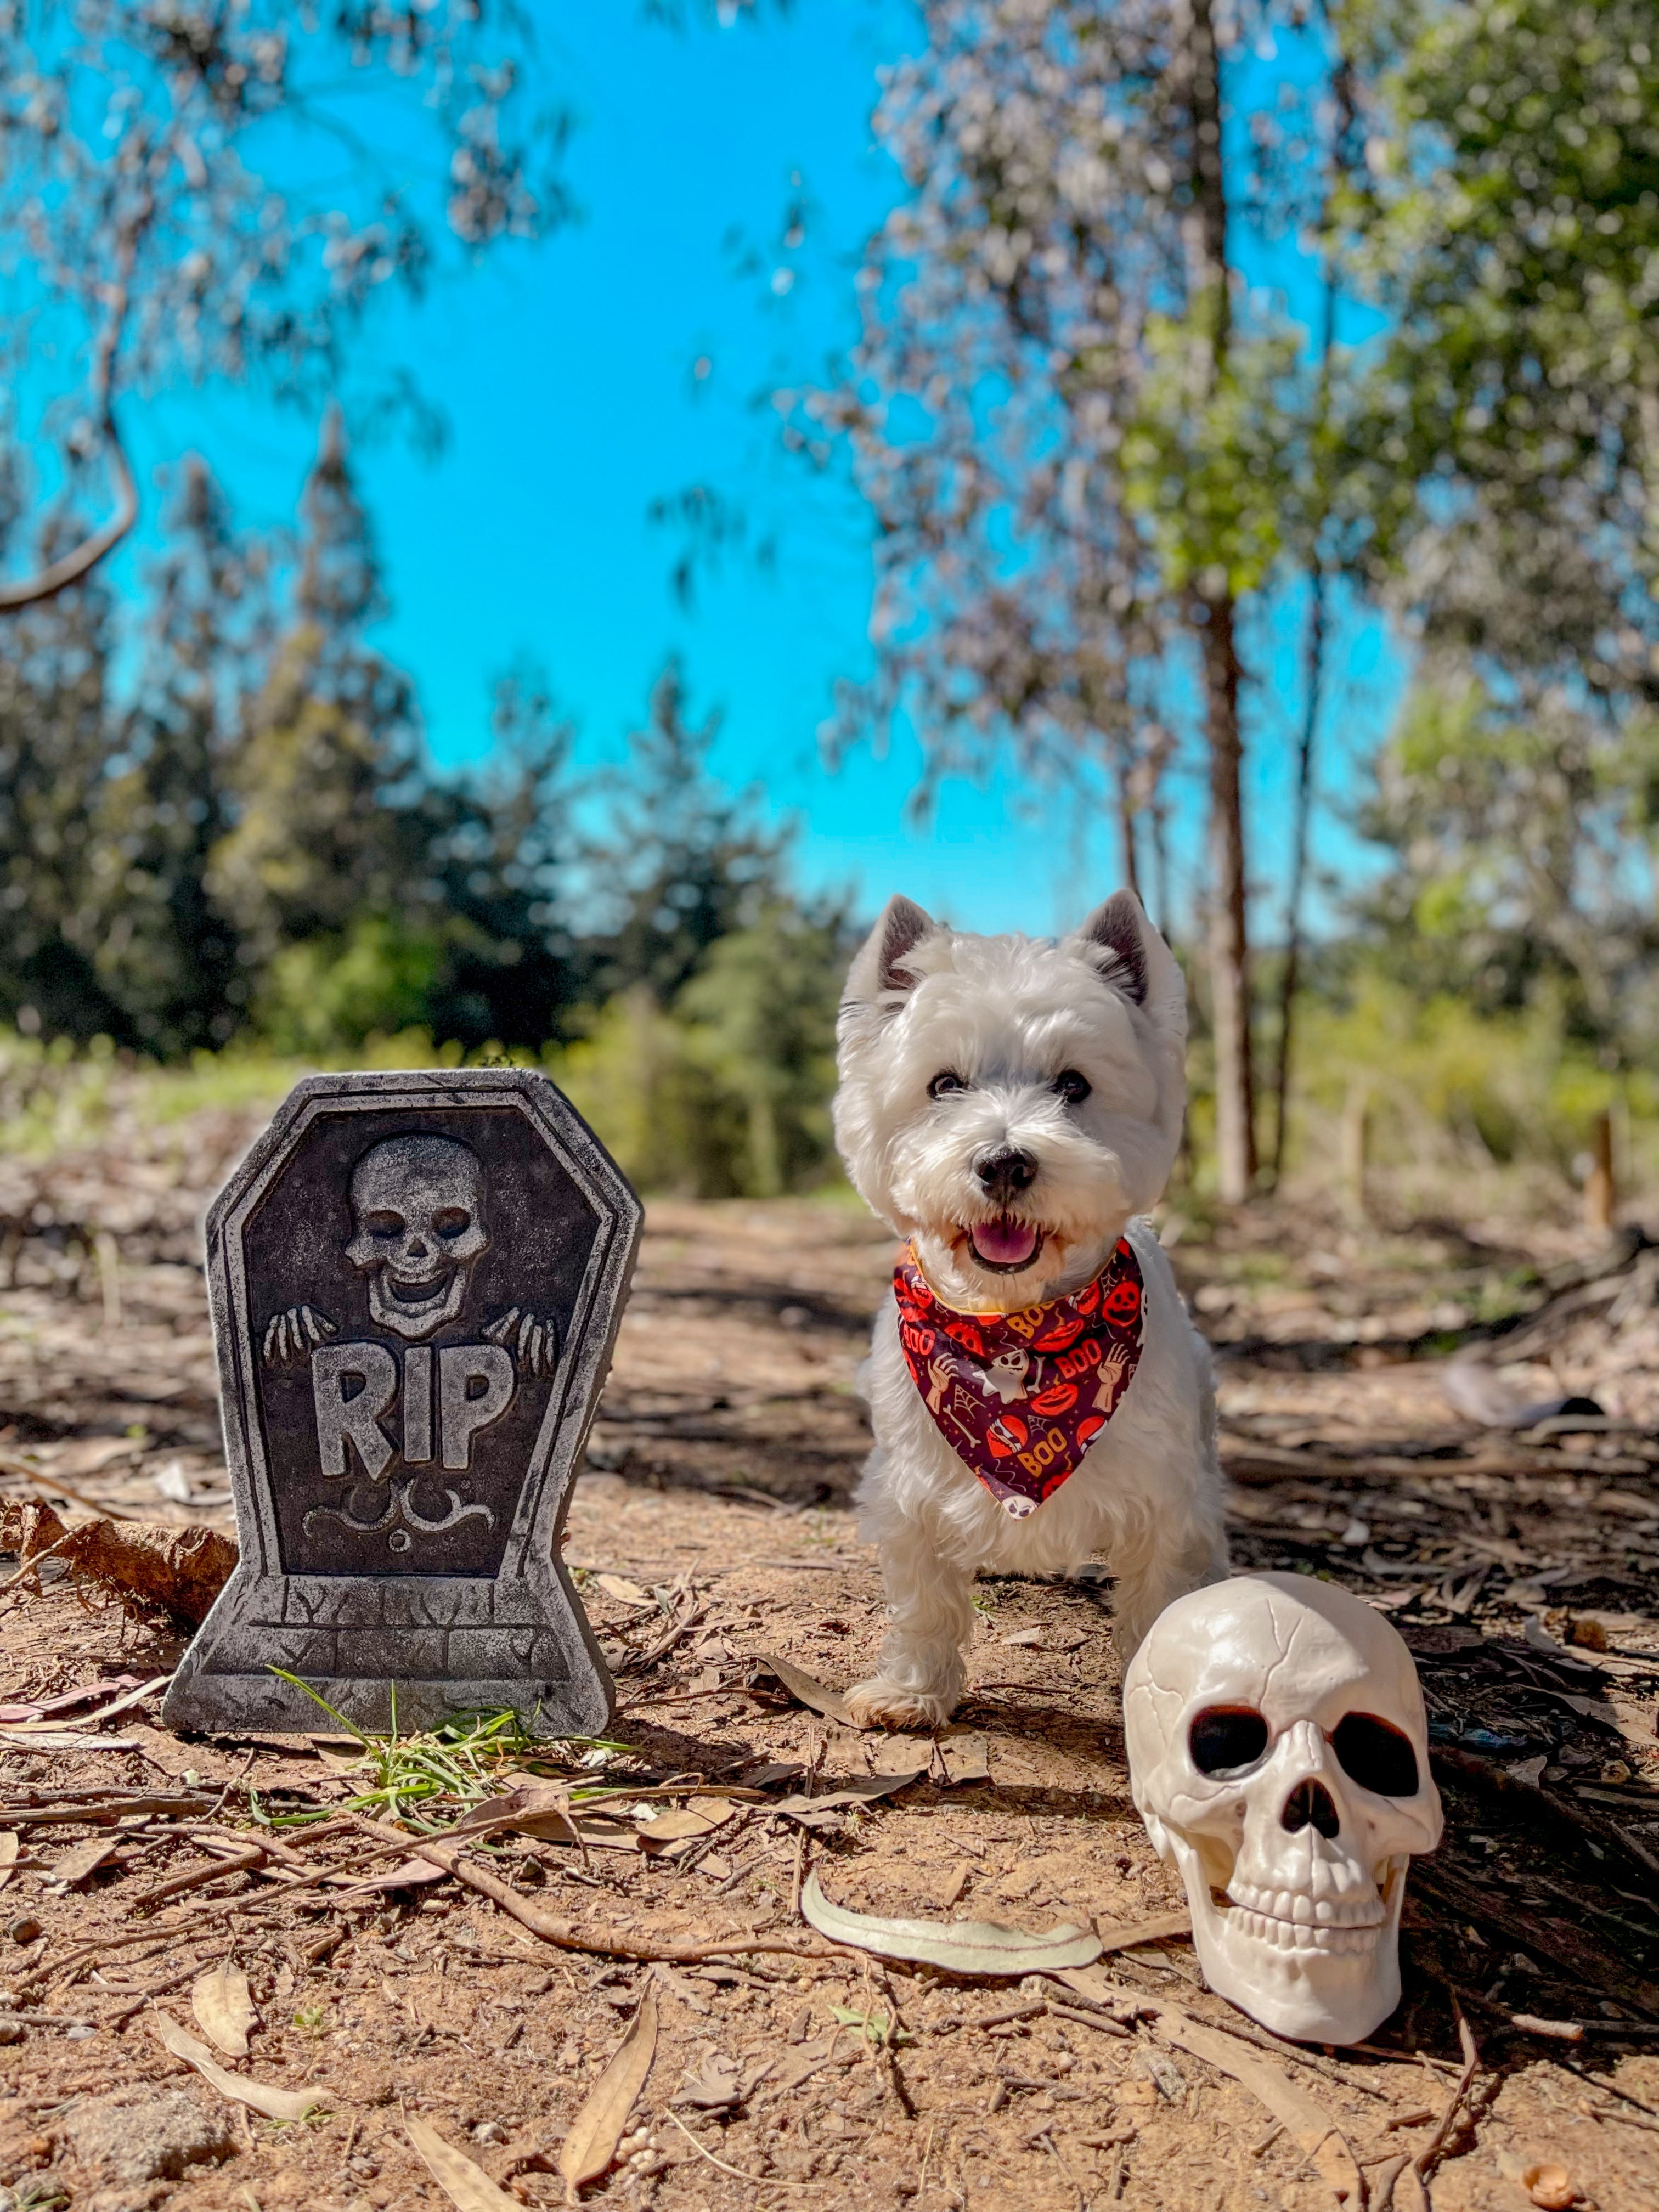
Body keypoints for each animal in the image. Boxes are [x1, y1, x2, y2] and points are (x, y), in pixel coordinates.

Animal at [836, 880, 1229, 1725]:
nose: (1005, 1164)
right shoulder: (912, 1489)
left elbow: (1160, 1601)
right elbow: (925, 1602)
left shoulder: (1162, 1502)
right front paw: (911, 1693)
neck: (1012, 1322)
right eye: (944, 1084)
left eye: (1074, 1085)